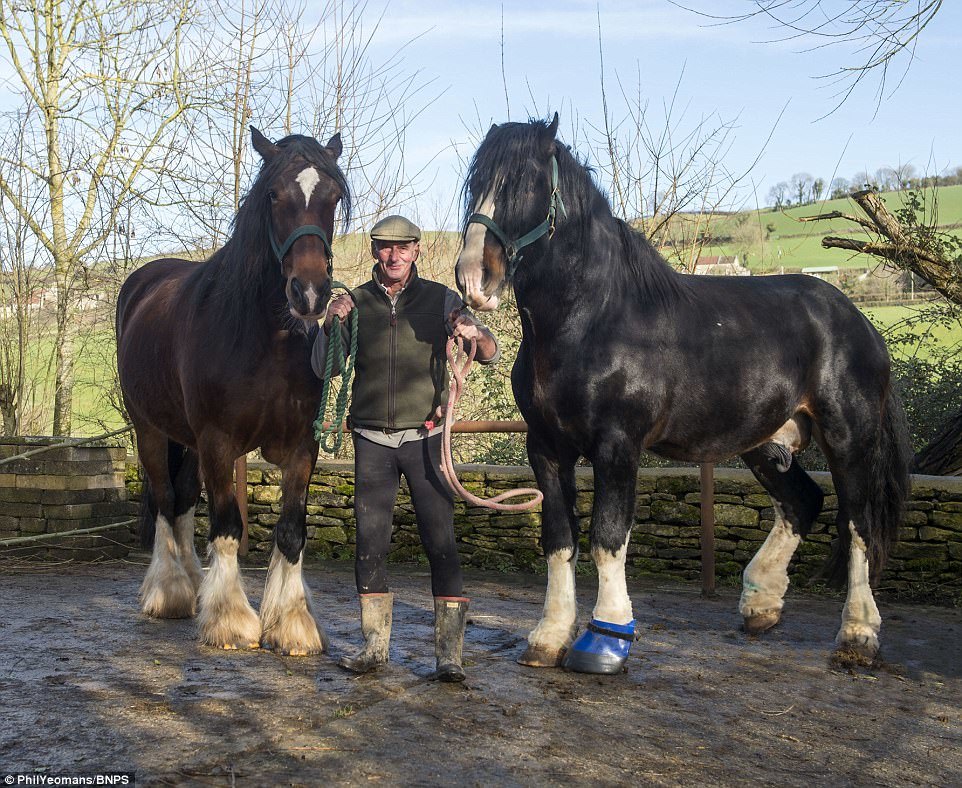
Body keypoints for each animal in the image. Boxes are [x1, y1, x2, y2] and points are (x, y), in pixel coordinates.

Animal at [116, 129, 348, 656]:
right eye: (273, 196)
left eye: (333, 196)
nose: (309, 293)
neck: (265, 339)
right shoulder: (218, 442)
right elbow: (226, 526)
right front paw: (230, 619)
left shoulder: (301, 445)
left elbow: (291, 530)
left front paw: (291, 623)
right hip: (151, 430)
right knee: (166, 500)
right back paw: (170, 591)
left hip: (185, 439)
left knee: (182, 499)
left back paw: (191, 583)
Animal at [454, 114, 912, 676]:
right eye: (475, 184)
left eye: (523, 185)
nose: (474, 279)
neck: (592, 320)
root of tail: (858, 320)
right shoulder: (545, 447)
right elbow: (559, 540)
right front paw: (549, 637)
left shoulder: (617, 445)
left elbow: (608, 538)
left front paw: (607, 640)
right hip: (765, 443)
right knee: (803, 502)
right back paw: (760, 605)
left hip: (848, 437)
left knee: (858, 523)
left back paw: (858, 634)